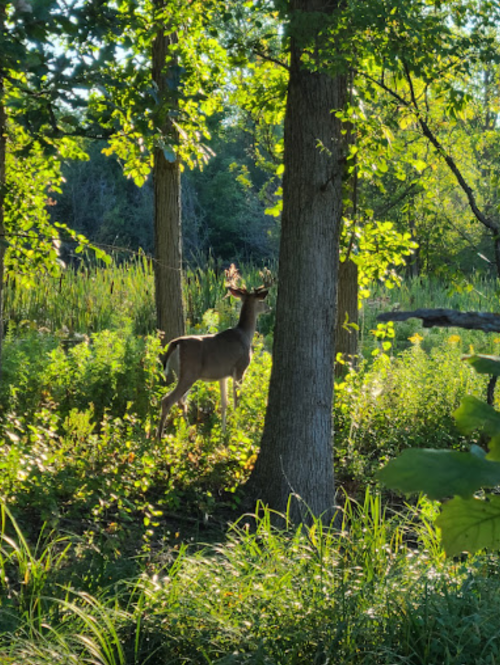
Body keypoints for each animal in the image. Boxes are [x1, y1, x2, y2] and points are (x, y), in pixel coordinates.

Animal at [156, 284, 269, 441]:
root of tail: (175, 344)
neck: (245, 334)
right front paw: (238, 427)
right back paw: (159, 437)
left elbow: (224, 403)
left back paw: (186, 431)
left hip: (183, 375)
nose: (269, 308)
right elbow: (236, 400)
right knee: (168, 400)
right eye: (262, 300)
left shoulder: (223, 375)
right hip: (189, 373)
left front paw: (223, 431)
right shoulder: (240, 368)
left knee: (181, 401)